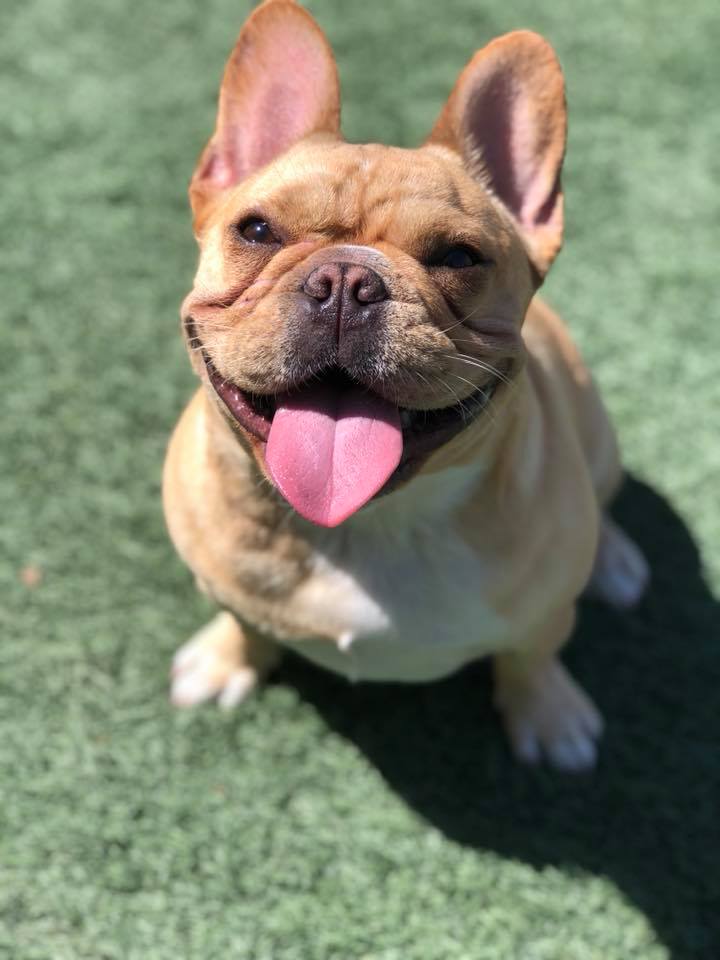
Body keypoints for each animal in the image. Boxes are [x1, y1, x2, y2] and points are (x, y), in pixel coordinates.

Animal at [163, 0, 649, 770]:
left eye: (459, 257)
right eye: (258, 230)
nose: (345, 280)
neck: (368, 525)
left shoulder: (544, 615)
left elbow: (531, 656)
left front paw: (550, 717)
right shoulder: (224, 583)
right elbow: (244, 621)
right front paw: (225, 660)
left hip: (595, 431)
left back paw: (616, 559)